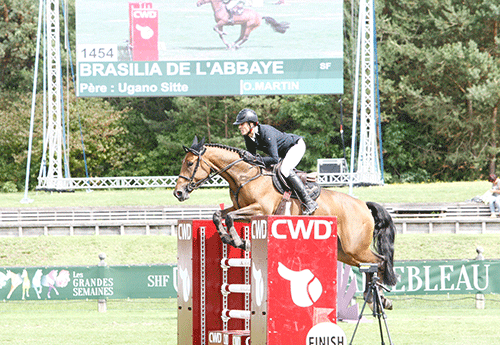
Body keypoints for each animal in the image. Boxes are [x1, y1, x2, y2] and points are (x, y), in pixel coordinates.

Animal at [174, 136, 396, 306]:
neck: (245, 176)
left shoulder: (259, 210)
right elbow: (218, 215)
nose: (178, 193)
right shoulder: (239, 208)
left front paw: (239, 241)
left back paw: (379, 296)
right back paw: (376, 299)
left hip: (354, 247)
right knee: (369, 266)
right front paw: (228, 238)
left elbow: (228, 217)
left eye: (190, 163)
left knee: (379, 261)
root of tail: (363, 205)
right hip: (345, 252)